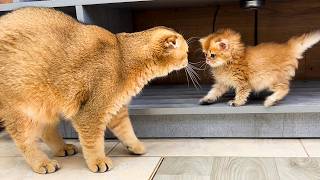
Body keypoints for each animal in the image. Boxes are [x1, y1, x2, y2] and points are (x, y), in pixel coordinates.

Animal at [0, 7, 189, 174]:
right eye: (186, 52)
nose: (188, 60)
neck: (122, 57)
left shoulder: (117, 110)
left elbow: (127, 130)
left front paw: (135, 146)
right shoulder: (91, 112)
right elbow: (93, 142)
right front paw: (97, 161)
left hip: (45, 105)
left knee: (47, 130)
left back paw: (62, 148)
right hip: (21, 111)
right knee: (25, 141)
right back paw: (42, 163)